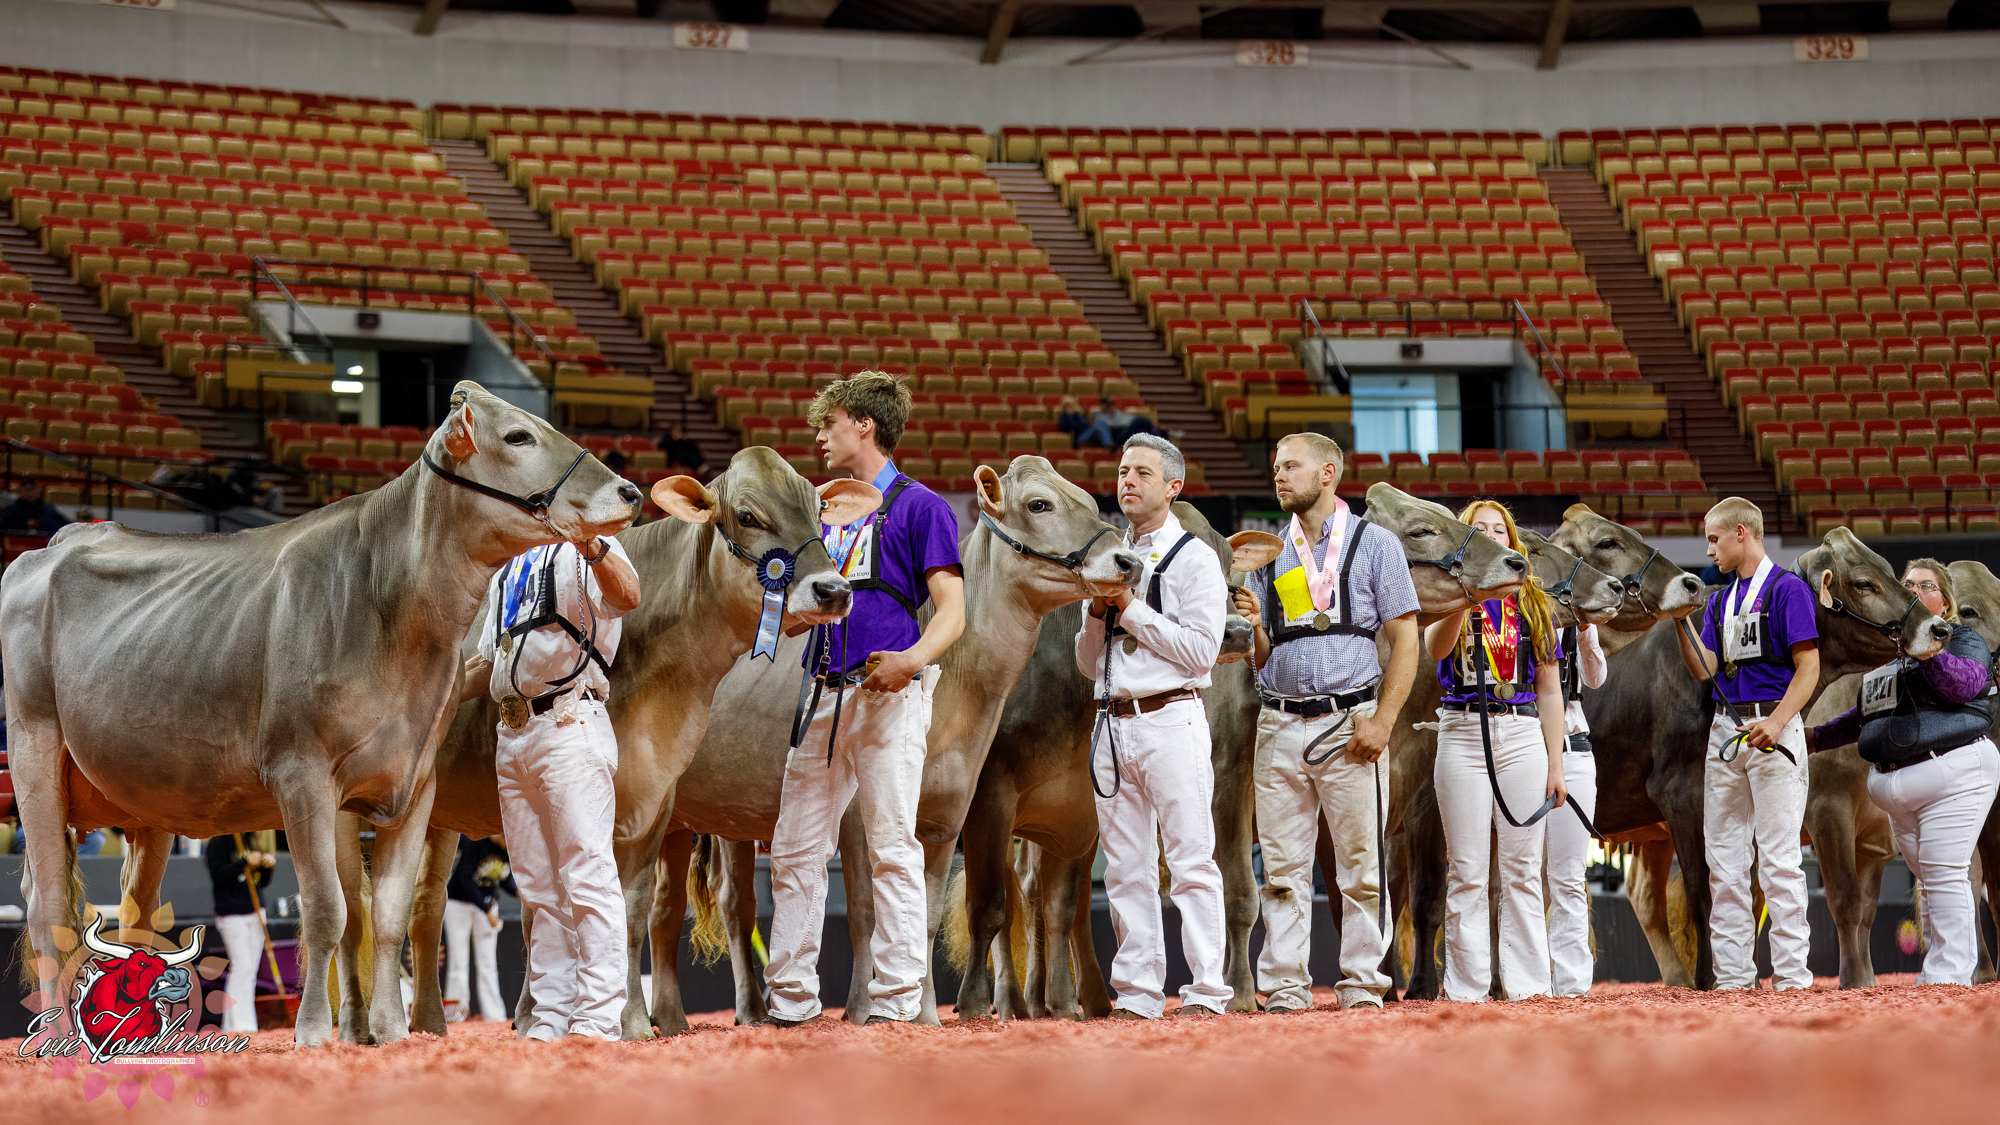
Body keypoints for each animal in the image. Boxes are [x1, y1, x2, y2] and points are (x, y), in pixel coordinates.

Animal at [3, 381, 640, 1047]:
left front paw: (391, 1031)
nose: (629, 492)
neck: (394, 607)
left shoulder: (415, 782)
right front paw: (312, 1032)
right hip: (33, 749)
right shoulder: (300, 773)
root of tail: (61, 540)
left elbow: (388, 915)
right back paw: (56, 1037)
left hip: (145, 795)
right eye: (519, 436)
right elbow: (327, 909)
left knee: (134, 910)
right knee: (49, 906)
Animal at [350, 445, 878, 1042]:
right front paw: (603, 1017)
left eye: (819, 512)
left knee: (425, 905)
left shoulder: (656, 801)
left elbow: (630, 909)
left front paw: (629, 1020)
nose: (834, 591)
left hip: (439, 813)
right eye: (748, 515)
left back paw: (430, 1021)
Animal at [644, 456, 1143, 1031]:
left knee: (678, 906)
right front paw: (865, 1009)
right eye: (1040, 504)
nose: (1128, 560)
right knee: (721, 903)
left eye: (1087, 497)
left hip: (698, 815)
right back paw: (718, 1012)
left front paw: (922, 1013)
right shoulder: (862, 815)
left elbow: (921, 914)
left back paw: (689, 1015)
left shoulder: (949, 812)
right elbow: (867, 912)